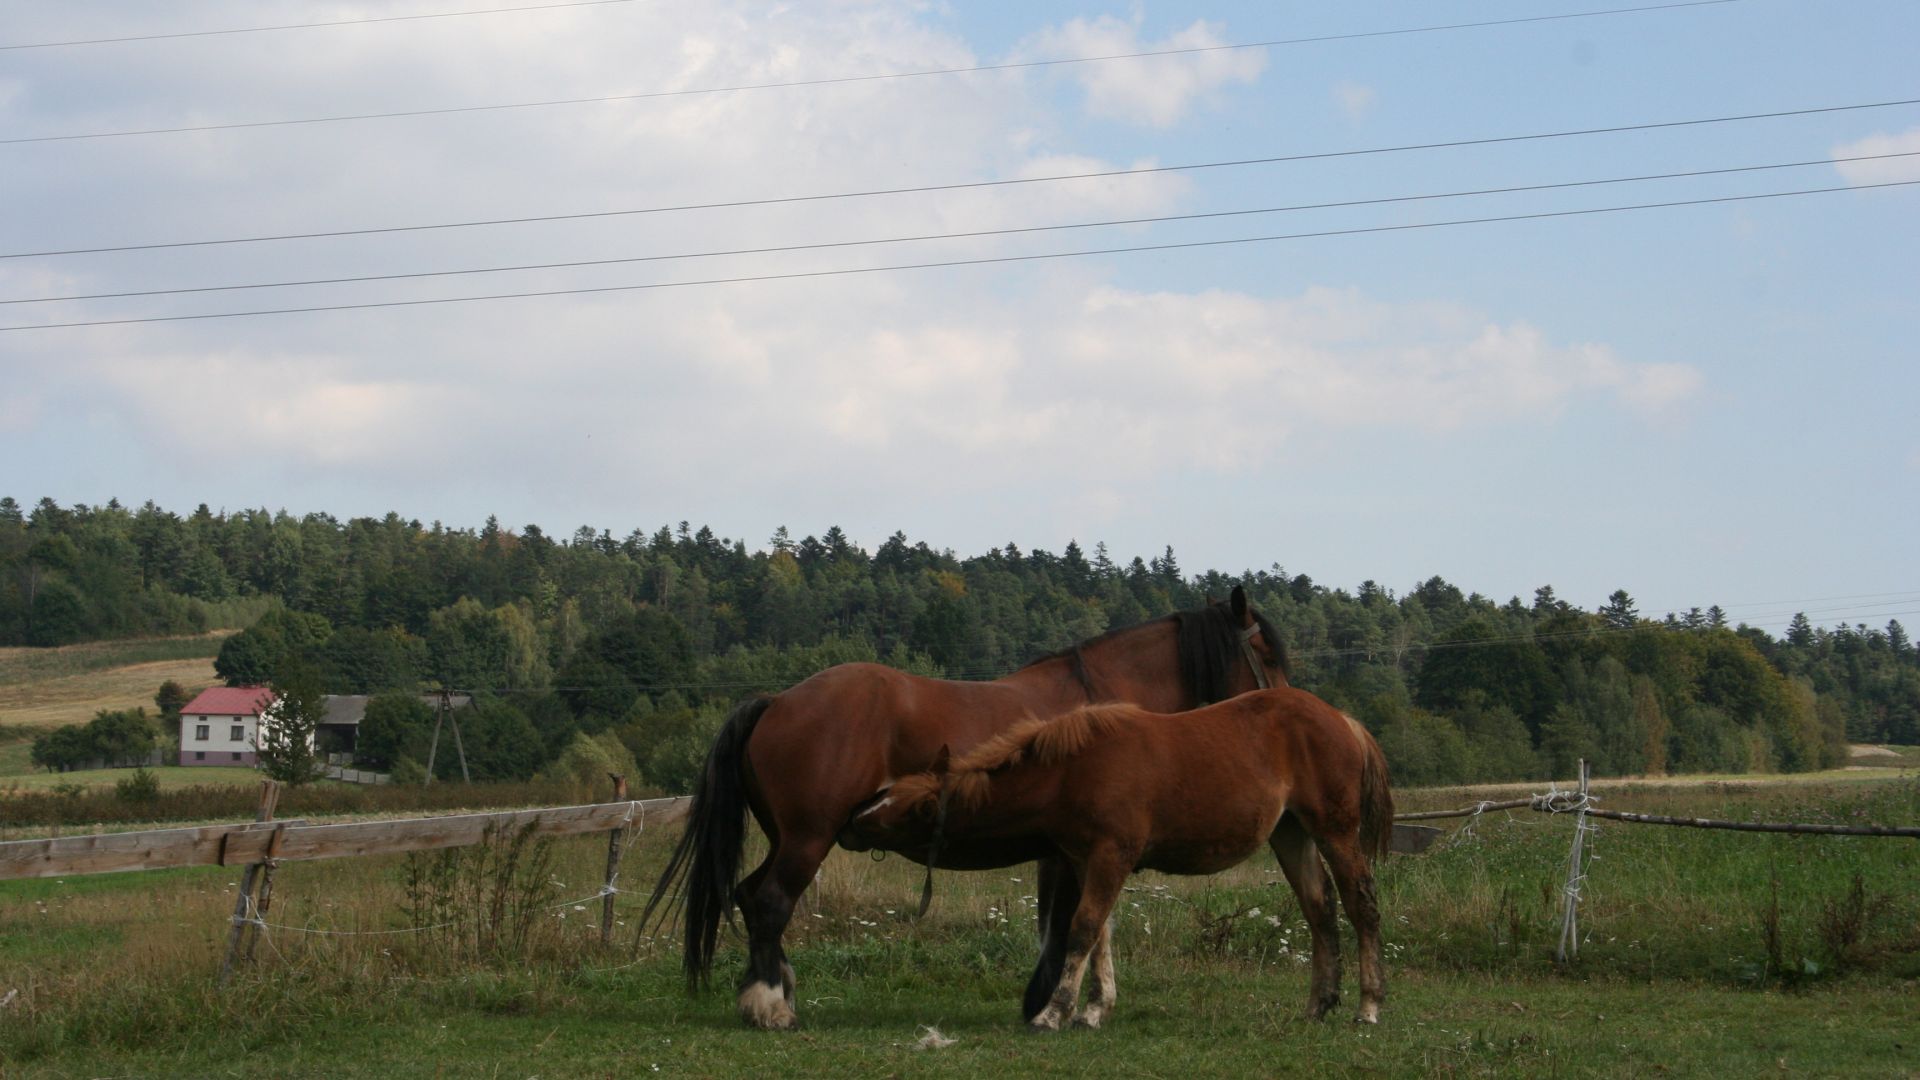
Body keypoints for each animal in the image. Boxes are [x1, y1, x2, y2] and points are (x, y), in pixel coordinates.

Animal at [645, 588, 1290, 1022]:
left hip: (786, 837)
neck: (1100, 709)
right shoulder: (1077, 849)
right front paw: (1056, 1004)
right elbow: (1073, 923)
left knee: (750, 895)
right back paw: (771, 1005)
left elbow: (1077, 923)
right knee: (771, 902)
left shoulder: (1073, 849)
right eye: (1267, 652)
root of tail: (777, 700)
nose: (1292, 705)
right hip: (807, 840)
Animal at [840, 684, 1397, 1030]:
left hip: (1335, 831)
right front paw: (1092, 1010)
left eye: (901, 810)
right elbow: (1099, 934)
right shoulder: (1087, 860)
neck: (1072, 770)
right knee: (1319, 911)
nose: (848, 823)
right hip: (1291, 835)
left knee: (1360, 905)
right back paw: (1318, 1005)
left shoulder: (1112, 856)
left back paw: (1368, 1007)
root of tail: (1343, 720)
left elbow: (1083, 928)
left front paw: (1052, 1014)